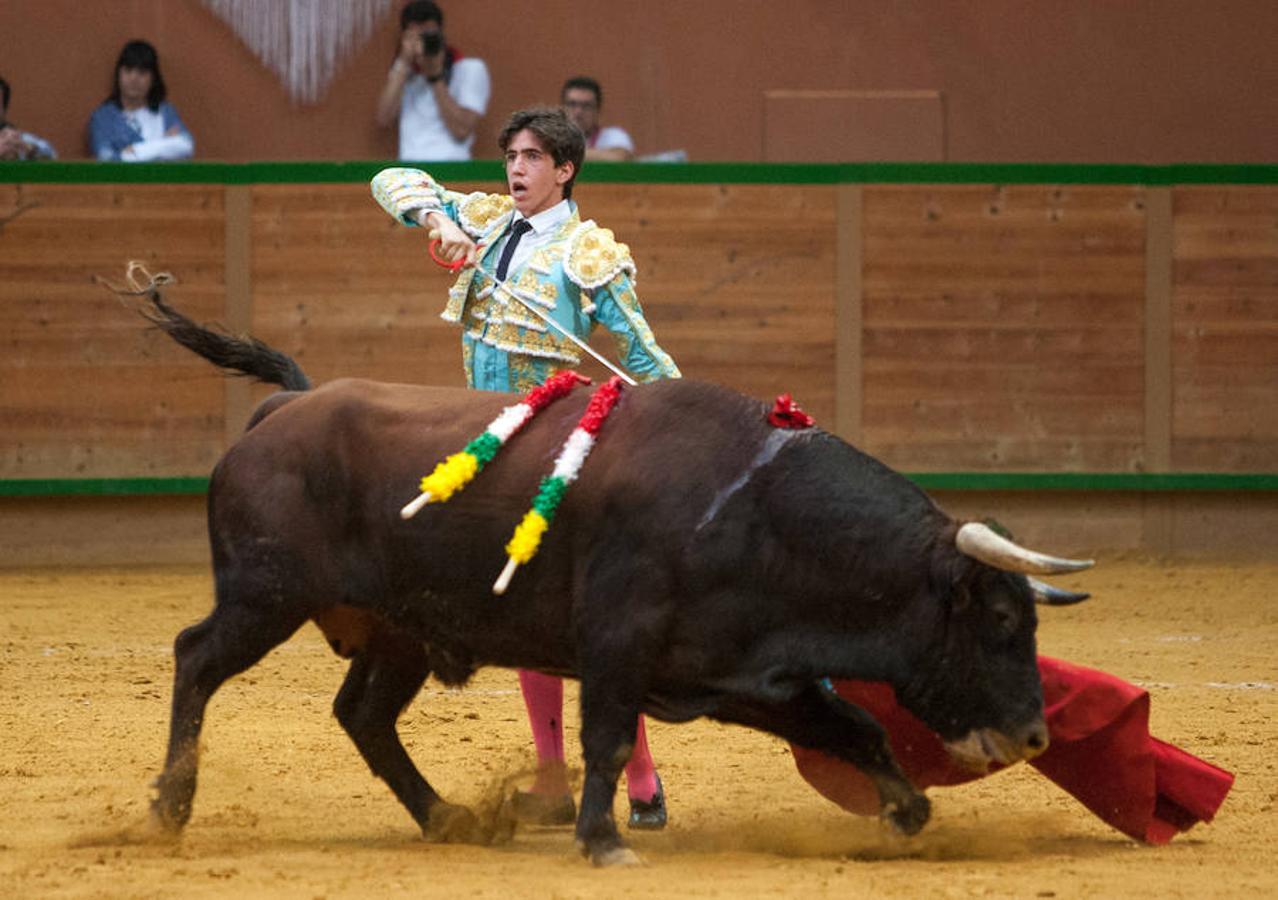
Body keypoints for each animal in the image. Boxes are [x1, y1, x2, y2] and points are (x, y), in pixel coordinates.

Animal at [134, 290, 1088, 864]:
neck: (754, 505)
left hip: (397, 630)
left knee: (362, 714)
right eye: (1001, 621)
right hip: (264, 596)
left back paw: (447, 817)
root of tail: (286, 406)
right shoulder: (618, 643)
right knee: (195, 657)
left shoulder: (743, 671)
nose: (1036, 736)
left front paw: (906, 817)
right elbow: (608, 737)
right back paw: (169, 809)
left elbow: (851, 726)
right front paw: (602, 840)